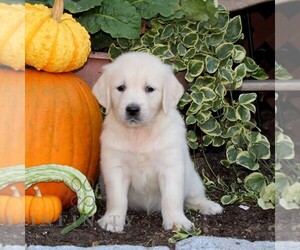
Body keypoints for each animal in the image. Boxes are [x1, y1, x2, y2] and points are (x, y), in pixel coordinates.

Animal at [92, 51, 221, 232]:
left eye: (149, 89)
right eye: (121, 88)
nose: (132, 109)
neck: (140, 133)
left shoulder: (171, 166)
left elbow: (172, 197)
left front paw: (176, 221)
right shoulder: (115, 167)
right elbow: (117, 198)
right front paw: (113, 219)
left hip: (193, 180)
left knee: (194, 198)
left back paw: (209, 206)